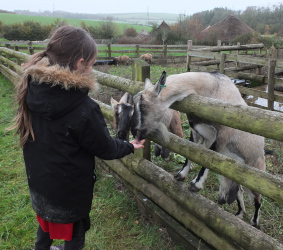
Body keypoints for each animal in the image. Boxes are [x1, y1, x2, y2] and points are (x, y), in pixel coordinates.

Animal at [132, 71, 268, 229]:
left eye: (142, 105)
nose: (134, 132)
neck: (213, 87)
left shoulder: (222, 135)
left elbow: (207, 158)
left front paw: (195, 185)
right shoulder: (198, 132)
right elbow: (191, 152)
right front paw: (181, 175)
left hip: (254, 176)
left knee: (258, 199)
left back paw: (254, 221)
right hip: (232, 173)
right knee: (238, 190)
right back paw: (239, 213)